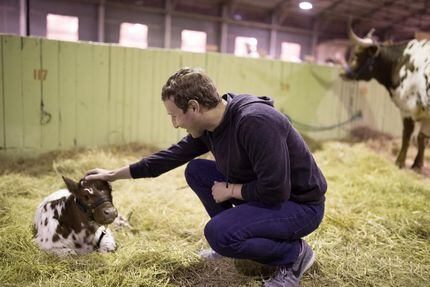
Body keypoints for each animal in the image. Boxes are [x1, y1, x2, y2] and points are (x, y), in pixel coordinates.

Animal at [342, 23, 430, 171]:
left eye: (357, 54)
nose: (342, 73)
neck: (401, 60)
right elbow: (421, 137)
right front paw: (417, 164)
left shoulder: (407, 107)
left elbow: (407, 134)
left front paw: (400, 162)